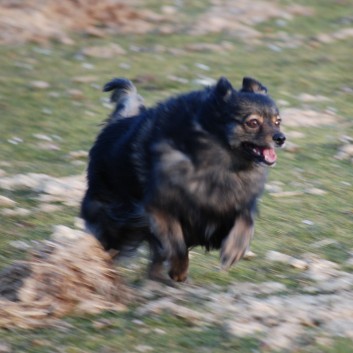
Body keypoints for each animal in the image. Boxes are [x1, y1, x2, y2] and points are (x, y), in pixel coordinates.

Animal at [80, 75, 284, 282]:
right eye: (253, 123)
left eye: (277, 121)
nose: (281, 138)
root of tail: (116, 123)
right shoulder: (161, 207)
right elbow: (177, 244)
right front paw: (179, 270)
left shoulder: (232, 203)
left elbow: (245, 221)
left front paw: (234, 249)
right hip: (117, 223)